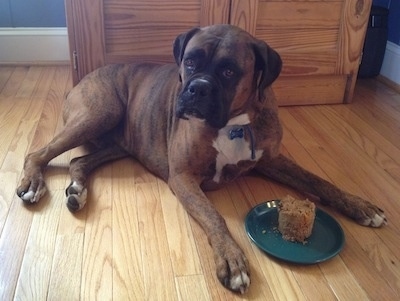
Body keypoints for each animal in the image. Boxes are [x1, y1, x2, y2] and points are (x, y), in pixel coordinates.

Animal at [17, 25, 386, 292]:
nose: (197, 87)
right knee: (38, 153)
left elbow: (319, 181)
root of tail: (83, 77)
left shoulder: (272, 160)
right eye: (190, 61)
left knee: (78, 162)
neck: (235, 124)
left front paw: (361, 206)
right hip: (100, 112)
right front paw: (232, 260)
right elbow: (214, 217)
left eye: (229, 71)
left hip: (121, 141)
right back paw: (33, 183)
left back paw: (77, 191)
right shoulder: (183, 178)